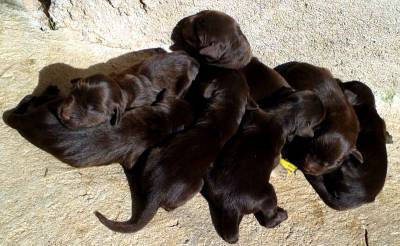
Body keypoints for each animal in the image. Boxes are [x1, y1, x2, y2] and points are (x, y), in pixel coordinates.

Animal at [59, 51, 200, 129]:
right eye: (72, 94)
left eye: (92, 108)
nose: (64, 114)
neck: (122, 86)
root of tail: (192, 59)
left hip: (186, 83)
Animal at [202, 89, 326, 243]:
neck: (282, 113)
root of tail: (229, 205)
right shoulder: (277, 152)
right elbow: (276, 162)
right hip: (268, 195)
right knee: (268, 221)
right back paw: (281, 215)